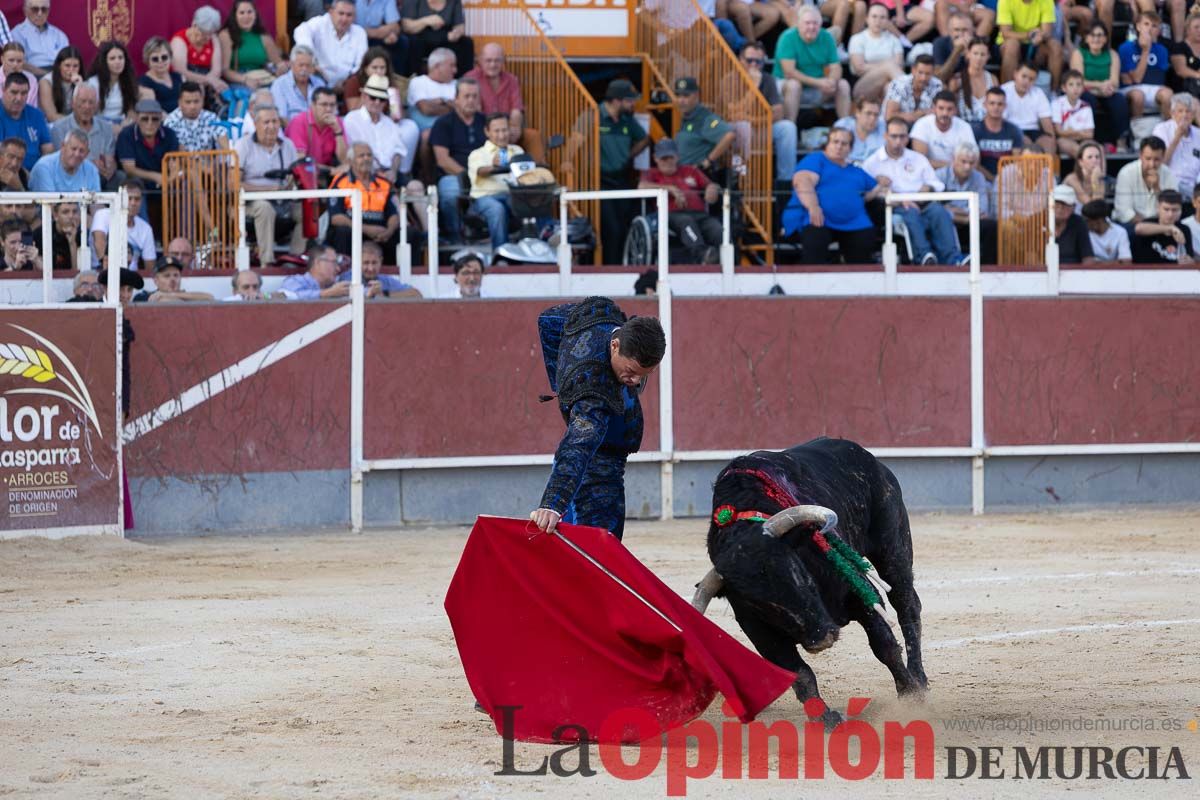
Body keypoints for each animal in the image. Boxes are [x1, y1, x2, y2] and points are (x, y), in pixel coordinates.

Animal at [691, 438, 931, 724]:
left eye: (797, 571)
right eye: (757, 603)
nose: (822, 639)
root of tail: (863, 454)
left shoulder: (859, 590)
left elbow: (884, 646)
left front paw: (911, 696)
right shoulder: (759, 630)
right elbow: (801, 674)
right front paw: (827, 719)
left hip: (893, 549)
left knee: (907, 604)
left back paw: (919, 677)